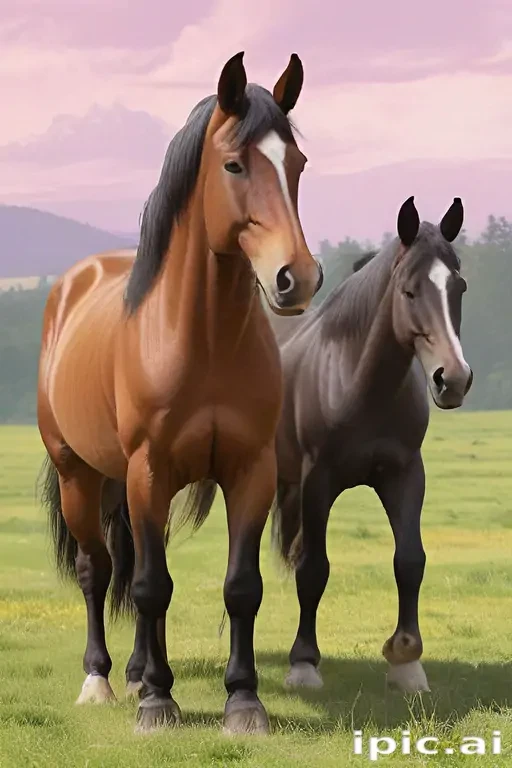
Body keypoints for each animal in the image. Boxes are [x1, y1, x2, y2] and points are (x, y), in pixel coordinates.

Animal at [36, 51, 323, 736]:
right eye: (234, 164)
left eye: (297, 163)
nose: (296, 278)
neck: (204, 340)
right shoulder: (149, 468)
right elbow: (149, 586)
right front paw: (158, 703)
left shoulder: (251, 470)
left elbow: (240, 586)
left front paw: (243, 700)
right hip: (81, 474)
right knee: (99, 571)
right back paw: (103, 681)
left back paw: (139, 669)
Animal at [268, 196, 473, 695]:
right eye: (409, 291)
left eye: (458, 286)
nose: (453, 379)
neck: (353, 379)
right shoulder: (317, 481)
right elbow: (313, 569)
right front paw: (303, 664)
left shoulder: (404, 475)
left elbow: (410, 560)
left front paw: (406, 660)